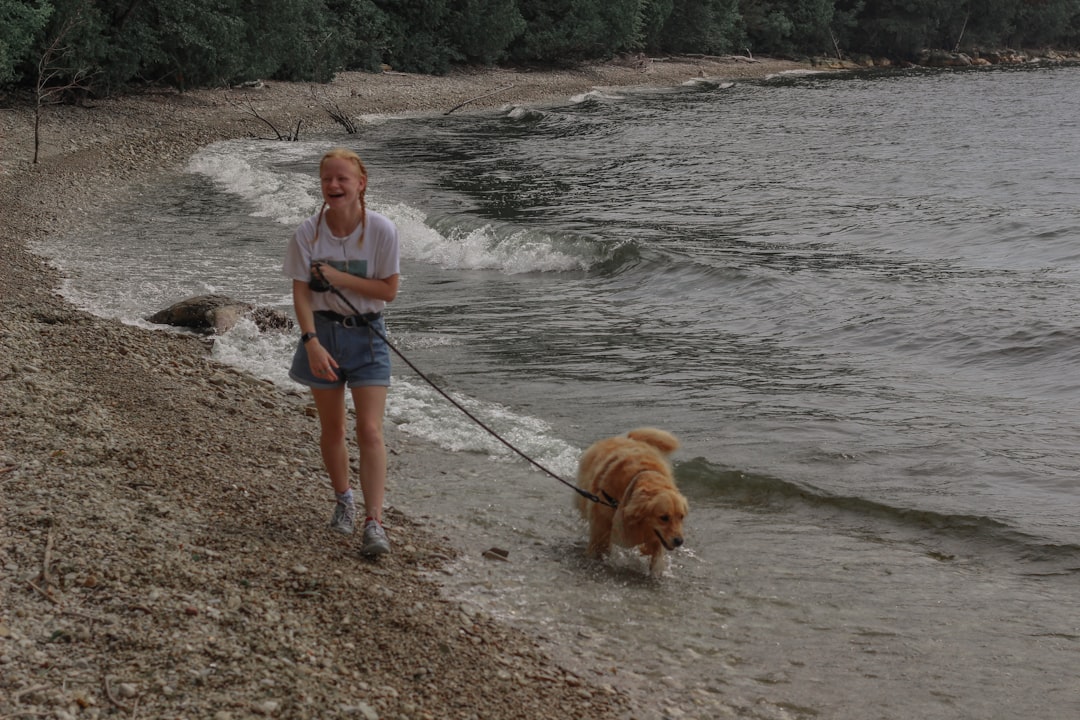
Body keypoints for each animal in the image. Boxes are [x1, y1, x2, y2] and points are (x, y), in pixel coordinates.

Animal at [578, 427, 686, 574]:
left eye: (681, 517)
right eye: (664, 517)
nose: (679, 541)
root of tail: (630, 438)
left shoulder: (657, 536)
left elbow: (656, 556)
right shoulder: (601, 523)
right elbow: (598, 544)